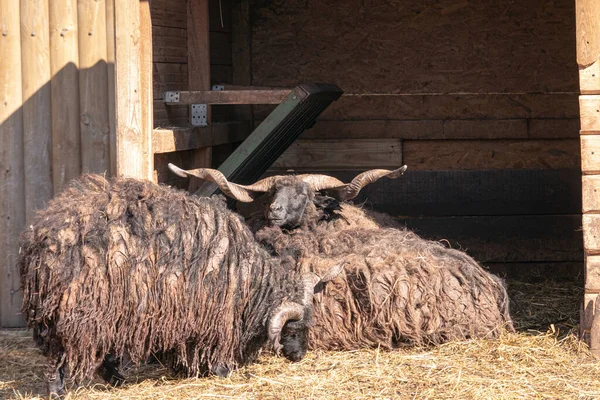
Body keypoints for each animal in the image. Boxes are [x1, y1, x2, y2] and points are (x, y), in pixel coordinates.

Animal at [18, 173, 344, 396]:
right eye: (295, 328)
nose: (299, 356)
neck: (248, 279)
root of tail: (42, 237)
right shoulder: (211, 312)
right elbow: (215, 349)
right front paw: (219, 370)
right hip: (78, 308)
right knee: (59, 353)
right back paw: (60, 390)